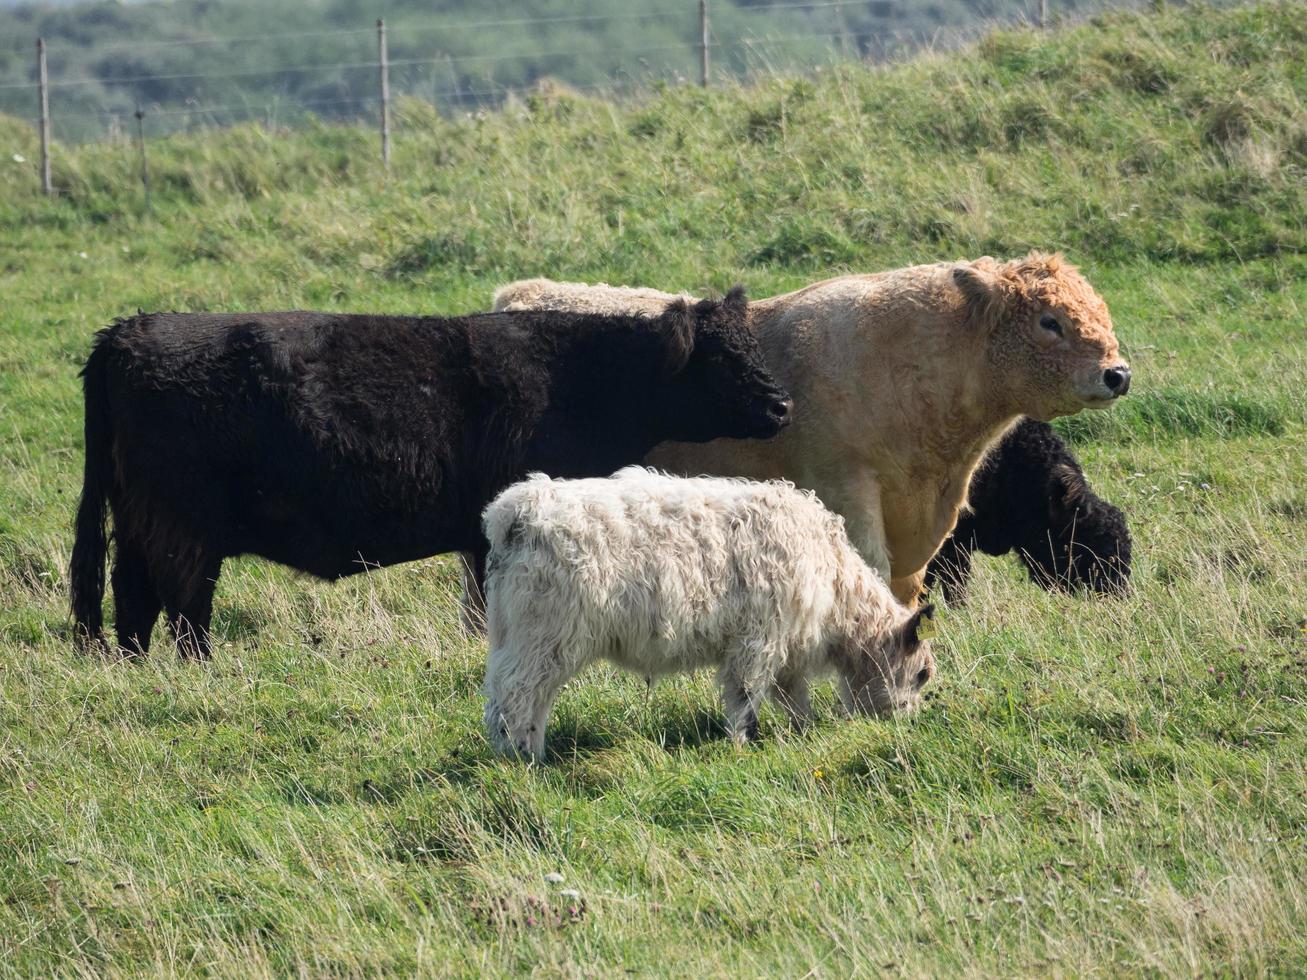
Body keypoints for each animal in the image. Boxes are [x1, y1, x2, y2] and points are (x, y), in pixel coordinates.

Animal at [71, 290, 789, 661]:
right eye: (722, 357)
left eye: (753, 345)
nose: (783, 404)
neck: (580, 379)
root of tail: (127, 331)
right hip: (182, 526)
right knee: (181, 605)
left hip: (140, 520)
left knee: (133, 596)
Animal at [486, 467, 935, 757]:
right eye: (922, 675)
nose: (908, 724)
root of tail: (518, 508)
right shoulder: (758, 640)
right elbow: (746, 695)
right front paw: (744, 745)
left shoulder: (786, 650)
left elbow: (794, 699)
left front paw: (801, 733)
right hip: (546, 635)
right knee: (516, 693)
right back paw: (520, 758)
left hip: (519, 637)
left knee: (519, 694)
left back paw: (524, 753)